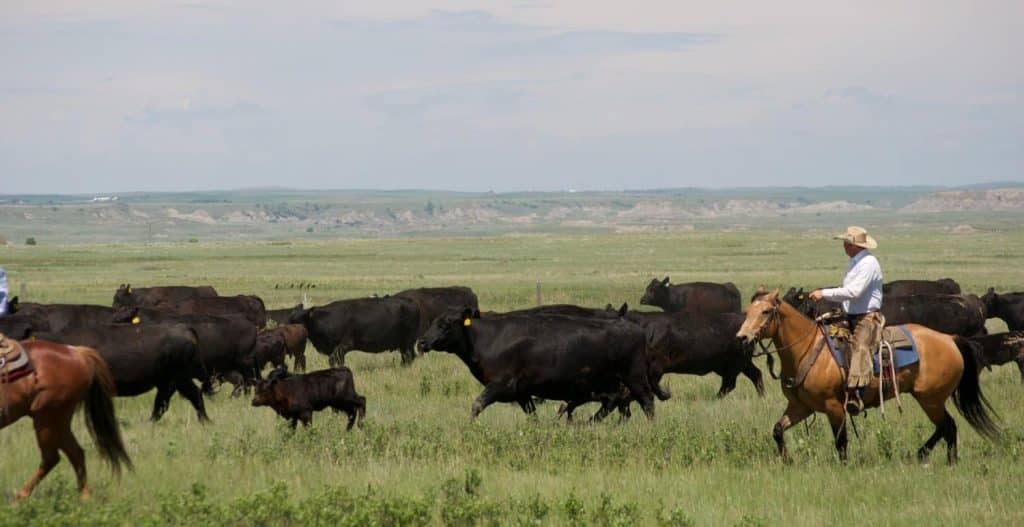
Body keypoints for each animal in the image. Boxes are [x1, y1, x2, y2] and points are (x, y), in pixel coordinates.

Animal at [0, 335, 132, 501]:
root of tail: (77, 352)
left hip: (47, 418)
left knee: (51, 458)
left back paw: (20, 497)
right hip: (59, 420)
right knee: (76, 453)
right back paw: (85, 497)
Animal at [288, 296, 419, 366]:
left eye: (299, 321)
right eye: (290, 320)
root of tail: (411, 302)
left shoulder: (344, 345)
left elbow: (333, 360)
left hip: (407, 343)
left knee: (409, 357)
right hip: (403, 345)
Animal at [415, 309, 655, 421]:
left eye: (446, 324)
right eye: (433, 321)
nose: (422, 342)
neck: (487, 338)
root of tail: (636, 328)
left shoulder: (500, 384)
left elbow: (476, 405)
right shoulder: (521, 392)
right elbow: (532, 416)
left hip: (634, 377)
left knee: (647, 401)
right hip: (609, 383)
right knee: (612, 404)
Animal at [737, 288, 999, 466]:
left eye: (766, 311)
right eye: (747, 312)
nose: (742, 338)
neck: (806, 350)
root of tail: (950, 339)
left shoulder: (834, 407)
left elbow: (841, 442)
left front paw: (843, 467)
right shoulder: (800, 407)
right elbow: (777, 430)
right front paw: (787, 460)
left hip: (931, 399)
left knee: (949, 427)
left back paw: (946, 460)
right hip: (928, 398)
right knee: (945, 427)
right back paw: (921, 454)